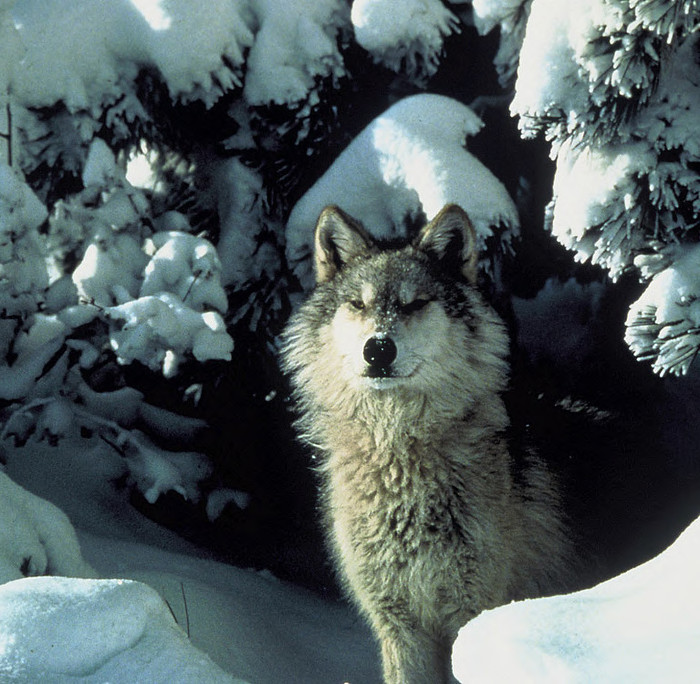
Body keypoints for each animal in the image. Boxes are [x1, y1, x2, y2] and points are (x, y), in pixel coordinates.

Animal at [281, 204, 574, 684]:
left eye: (415, 303)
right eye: (358, 304)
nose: (378, 349)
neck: (398, 456)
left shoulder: (471, 614)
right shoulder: (399, 625)